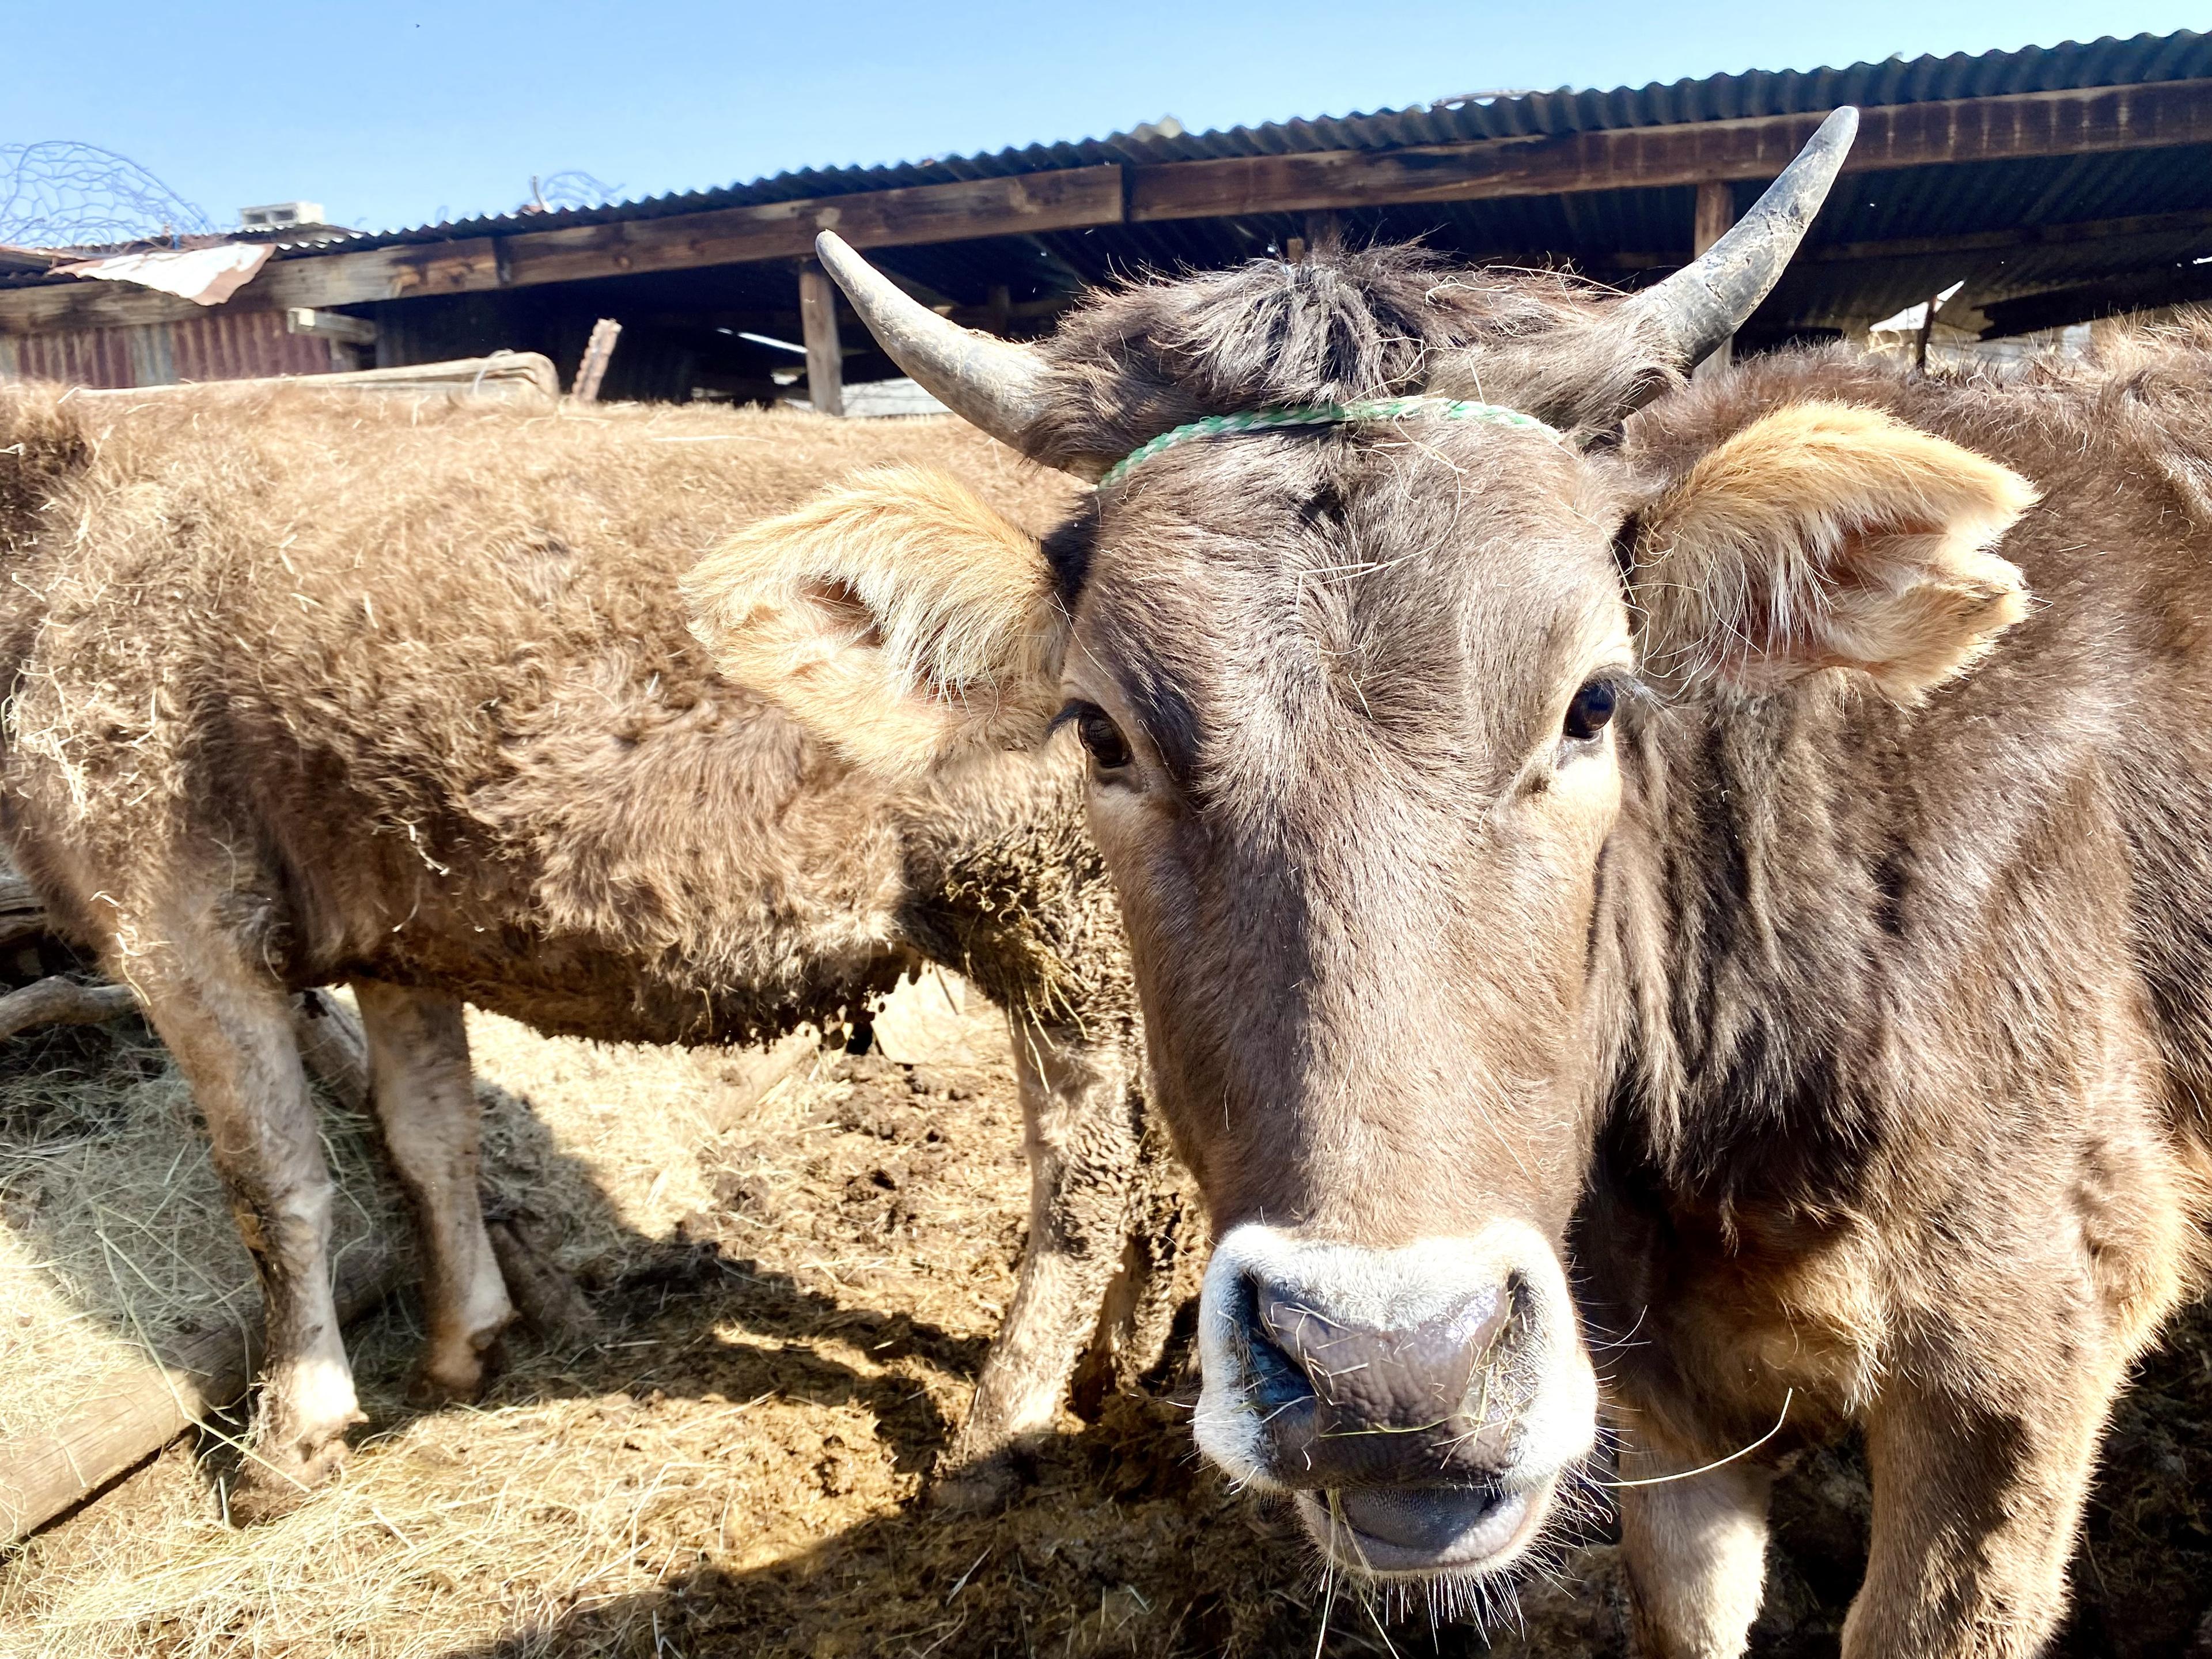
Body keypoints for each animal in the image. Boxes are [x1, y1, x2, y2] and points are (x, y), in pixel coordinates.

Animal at [0, 389, 1175, 1521]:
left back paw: (999, 1427)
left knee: (1090, 1161)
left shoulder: (174, 917)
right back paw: (1119, 1366)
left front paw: (290, 1440)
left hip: (1043, 906)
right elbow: (427, 1136)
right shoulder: (392, 939)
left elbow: (273, 1185)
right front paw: (461, 1341)